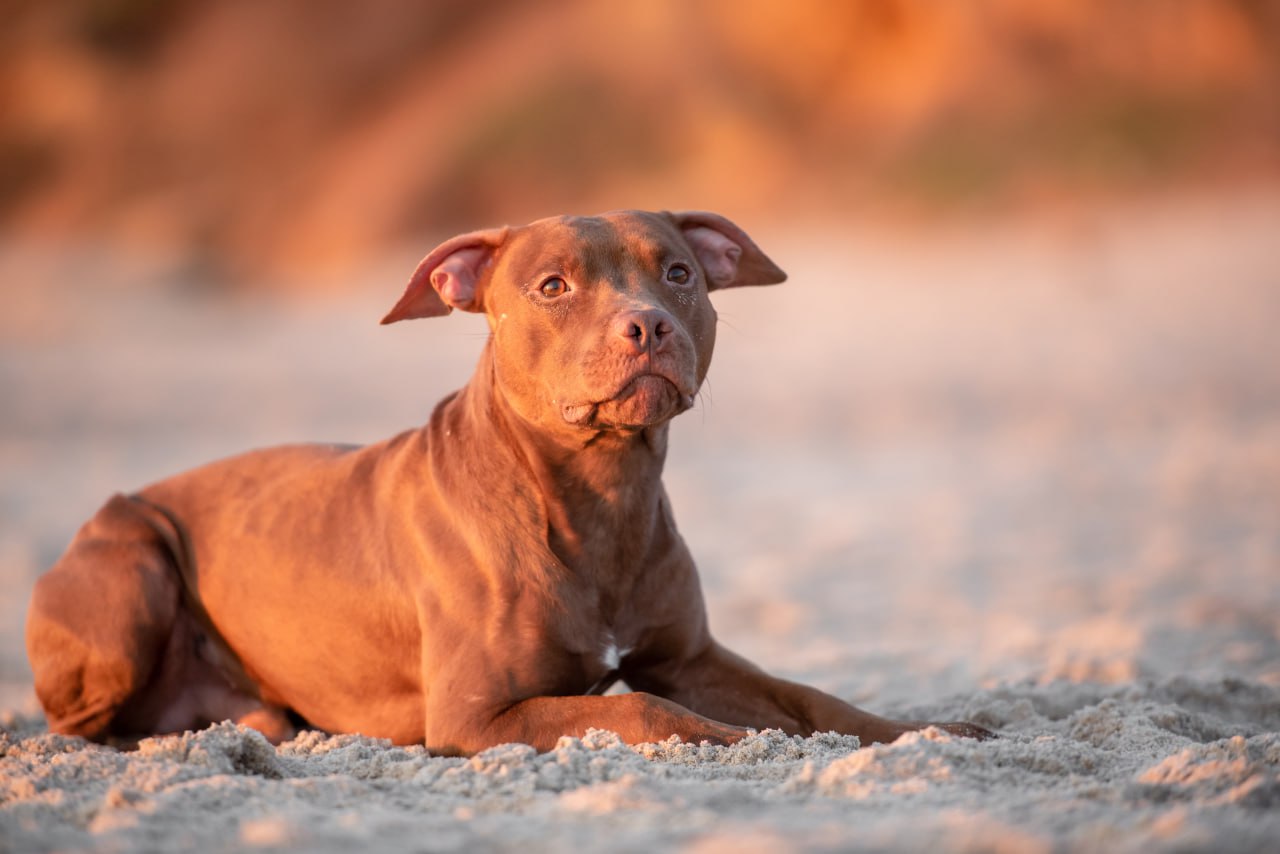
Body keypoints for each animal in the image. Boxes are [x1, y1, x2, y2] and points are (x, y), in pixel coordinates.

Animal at [24, 212, 993, 752]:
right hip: (130, 569)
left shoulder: (691, 656)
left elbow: (811, 696)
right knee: (84, 724)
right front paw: (741, 738)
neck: (600, 494)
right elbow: (647, 713)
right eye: (552, 286)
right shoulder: (477, 718)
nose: (648, 325)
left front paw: (924, 730)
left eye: (678, 271)